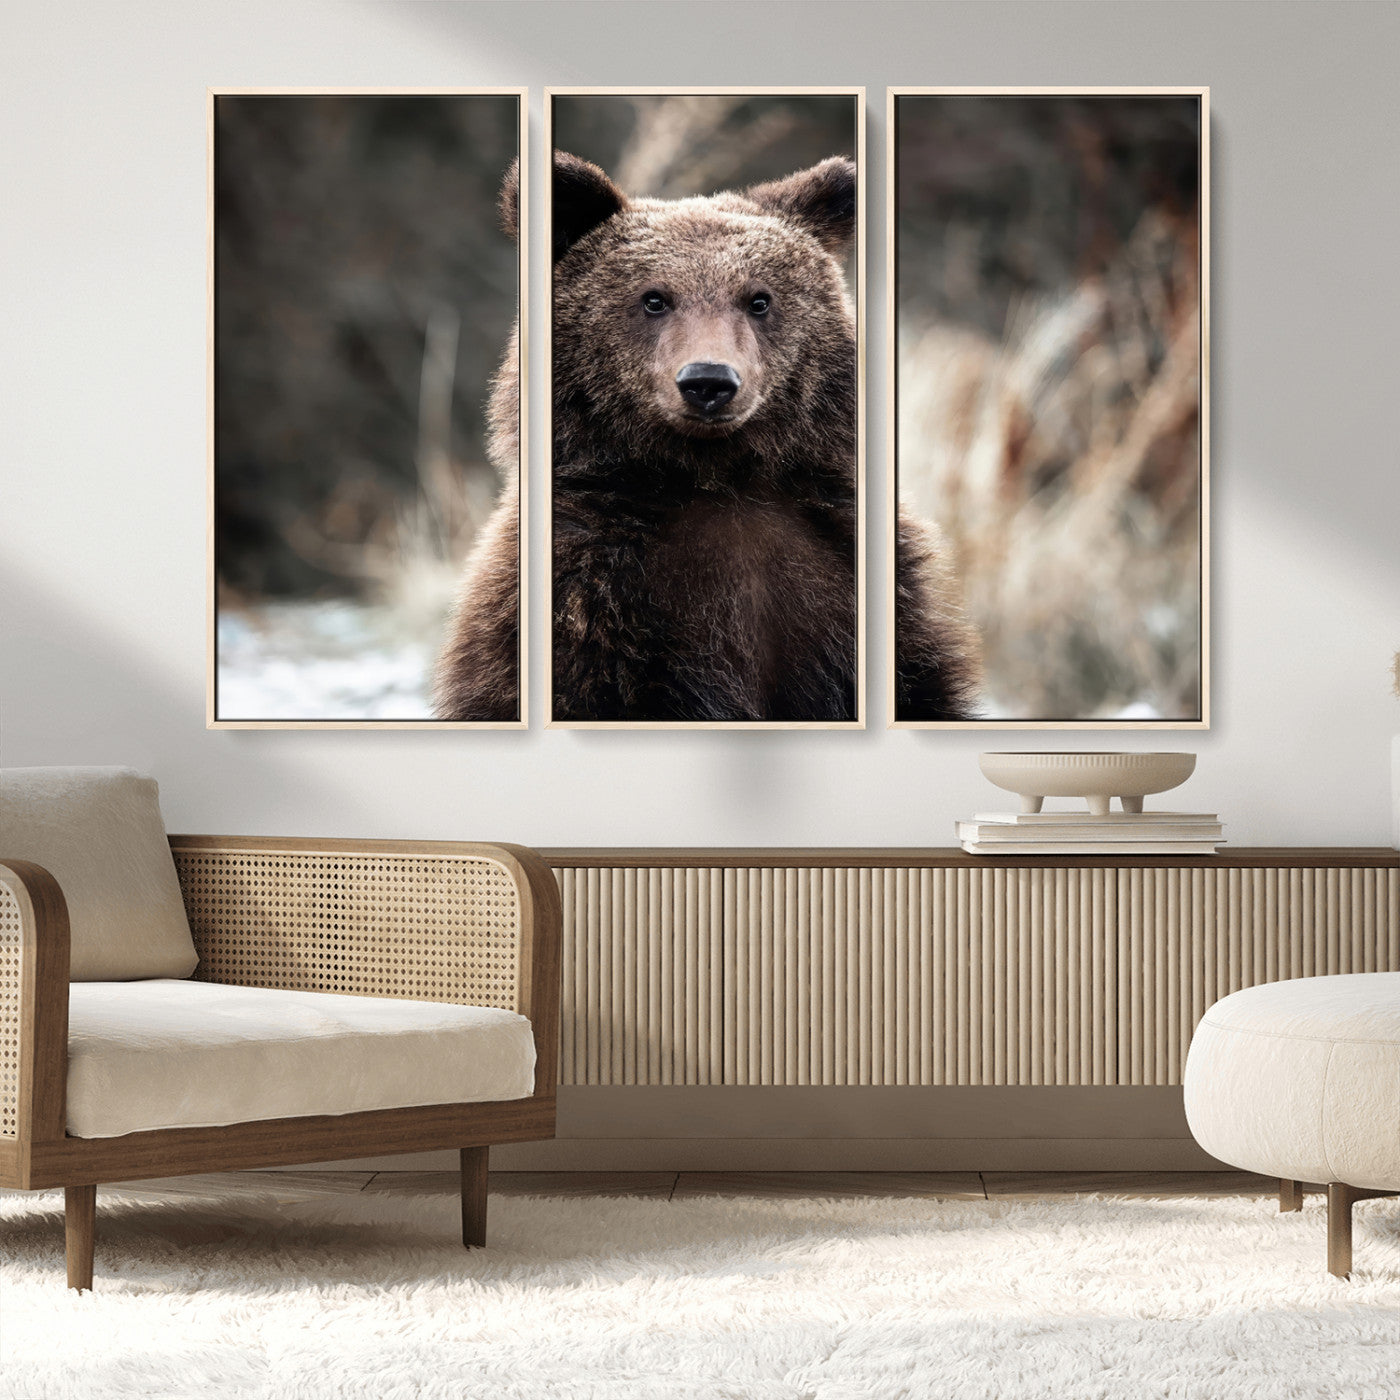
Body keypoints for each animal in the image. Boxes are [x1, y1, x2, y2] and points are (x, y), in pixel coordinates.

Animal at [434, 153, 980, 723]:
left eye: (758, 299)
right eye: (654, 299)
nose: (708, 381)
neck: (715, 475)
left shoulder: (848, 573)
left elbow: (920, 685)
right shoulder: (587, 597)